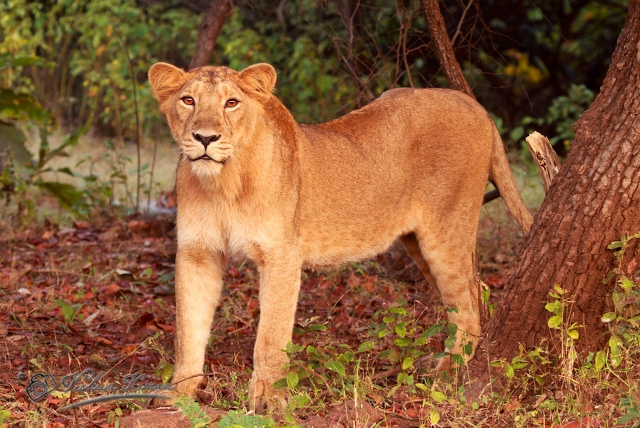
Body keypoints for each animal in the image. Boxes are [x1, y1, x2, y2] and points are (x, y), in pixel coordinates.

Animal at [148, 61, 532, 410]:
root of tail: (473, 103)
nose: (205, 138)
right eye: (188, 100)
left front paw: (268, 400)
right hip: (419, 242)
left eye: (231, 103)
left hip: (446, 230)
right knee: (475, 289)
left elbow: (271, 335)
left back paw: (450, 370)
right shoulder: (197, 253)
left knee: (466, 302)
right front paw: (178, 394)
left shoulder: (282, 255)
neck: (223, 184)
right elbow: (188, 328)